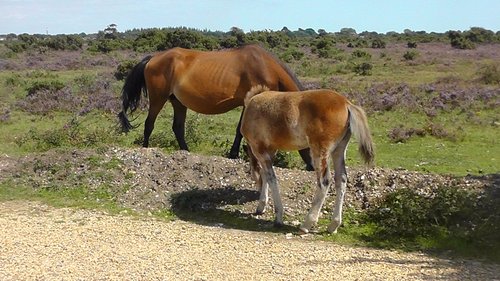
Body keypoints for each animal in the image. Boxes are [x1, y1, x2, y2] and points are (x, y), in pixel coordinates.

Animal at [117, 43, 312, 168]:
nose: (312, 166)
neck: (266, 66)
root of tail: (153, 58)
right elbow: (243, 131)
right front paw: (235, 154)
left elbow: (240, 131)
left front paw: (235, 154)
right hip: (159, 98)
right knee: (149, 124)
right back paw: (146, 149)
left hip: (178, 102)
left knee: (177, 127)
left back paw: (186, 152)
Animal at [240, 85, 374, 232]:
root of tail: (346, 104)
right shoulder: (270, 150)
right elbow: (265, 176)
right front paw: (261, 207)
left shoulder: (260, 150)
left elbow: (271, 178)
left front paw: (278, 217)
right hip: (339, 150)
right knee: (341, 179)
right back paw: (333, 225)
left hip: (319, 151)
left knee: (324, 181)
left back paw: (307, 224)